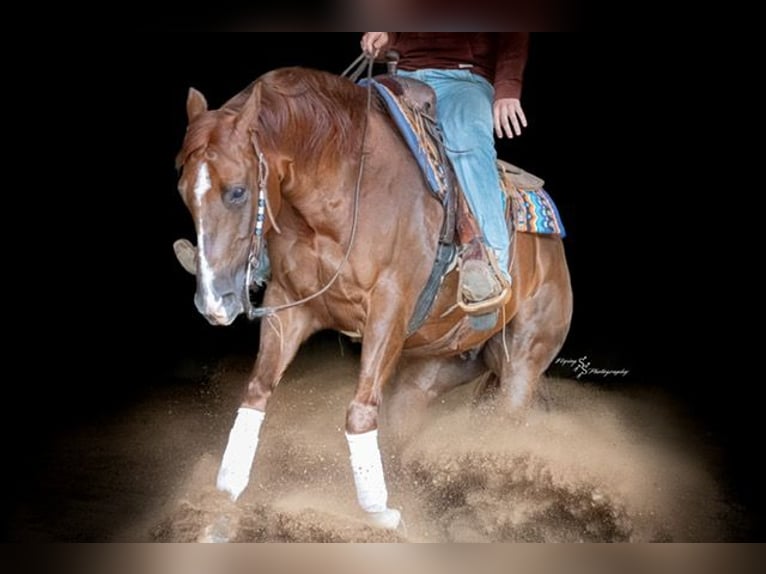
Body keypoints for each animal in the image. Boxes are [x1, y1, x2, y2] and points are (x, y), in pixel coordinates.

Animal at [175, 66, 573, 532]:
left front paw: (379, 511)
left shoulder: (388, 310)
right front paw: (224, 496)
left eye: (237, 191)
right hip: (433, 370)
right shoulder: (290, 305)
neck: (344, 186)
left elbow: (360, 410)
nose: (213, 302)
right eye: (184, 191)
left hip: (523, 361)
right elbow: (256, 392)